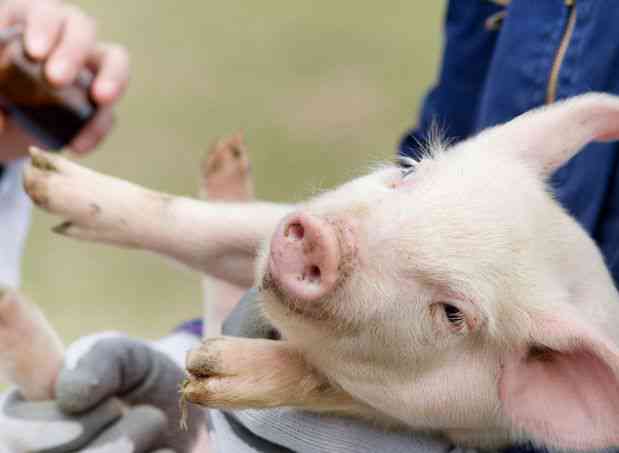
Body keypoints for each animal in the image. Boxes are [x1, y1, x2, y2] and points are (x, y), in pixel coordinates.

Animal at [23, 93, 619, 450]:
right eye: (408, 175)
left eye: (453, 313)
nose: (321, 242)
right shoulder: (274, 227)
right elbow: (209, 230)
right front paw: (42, 177)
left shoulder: (448, 419)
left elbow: (318, 377)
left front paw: (208, 369)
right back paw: (224, 160)